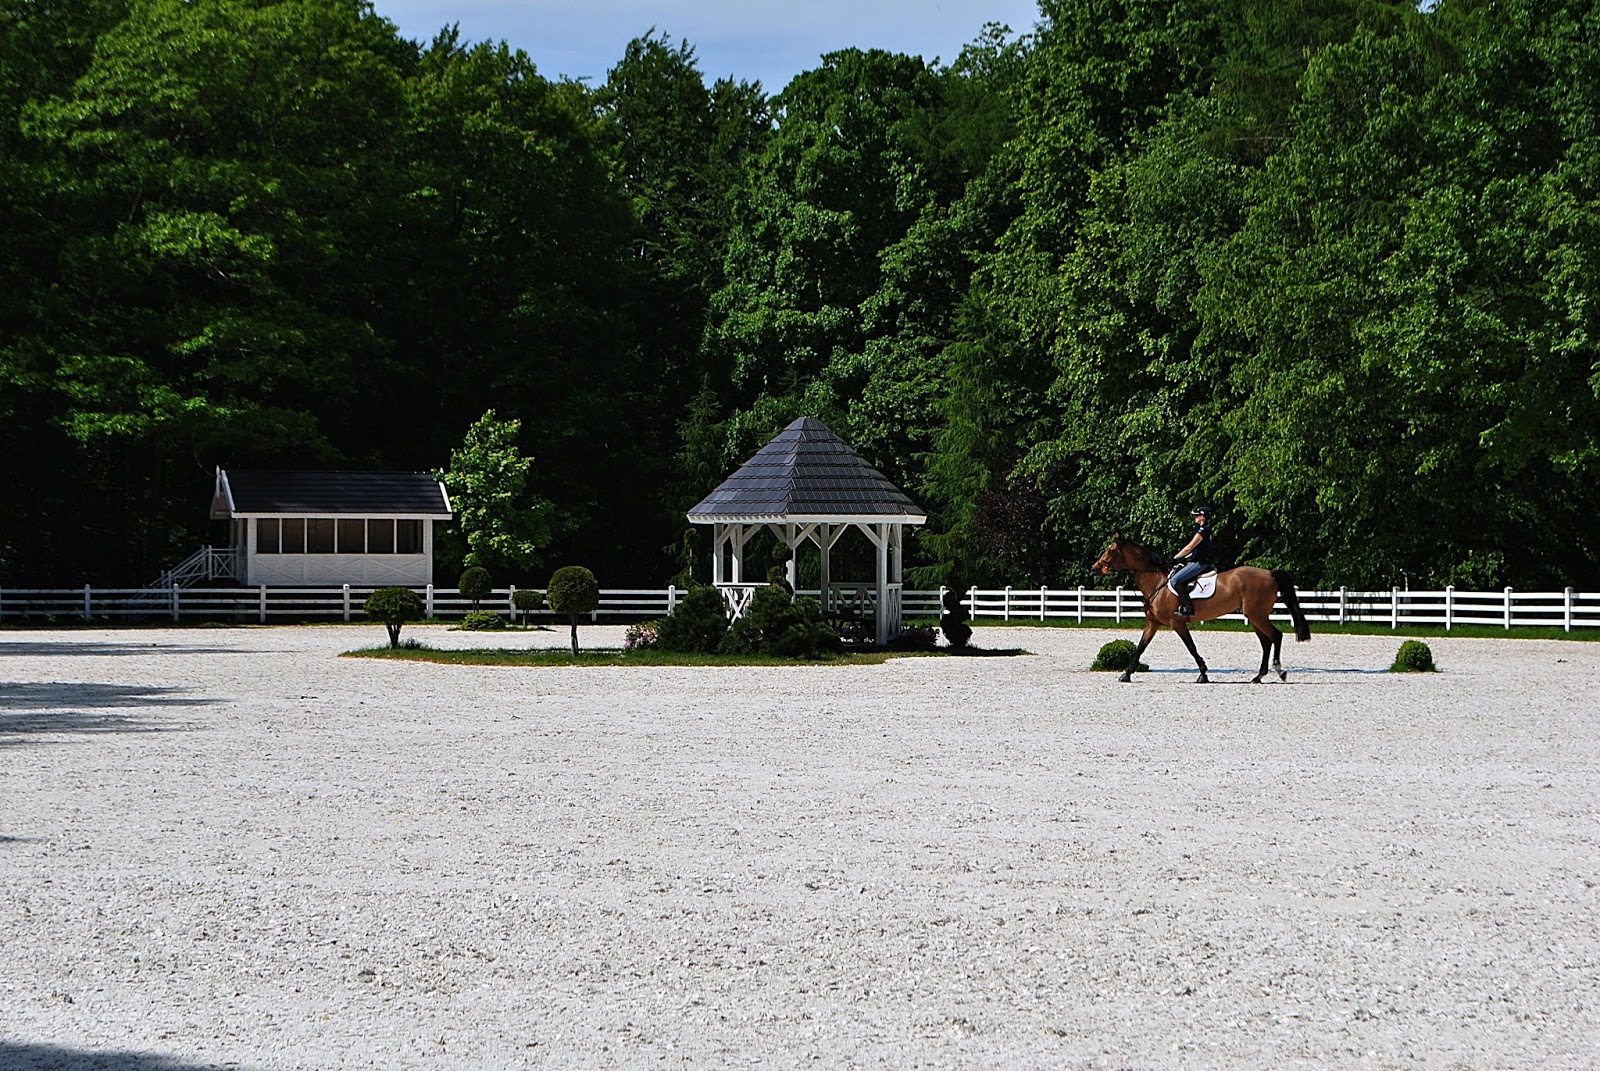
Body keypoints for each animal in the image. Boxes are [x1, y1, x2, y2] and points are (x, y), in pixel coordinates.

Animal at [1088, 531, 1312, 685]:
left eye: (1111, 550)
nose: (1095, 568)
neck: (1157, 582)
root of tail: (1269, 573)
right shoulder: (1153, 623)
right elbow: (1140, 647)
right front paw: (1126, 674)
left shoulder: (1177, 622)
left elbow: (1191, 647)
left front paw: (1203, 673)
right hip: (1255, 616)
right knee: (1266, 642)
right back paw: (1258, 676)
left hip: (1257, 615)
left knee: (1275, 636)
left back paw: (1279, 671)